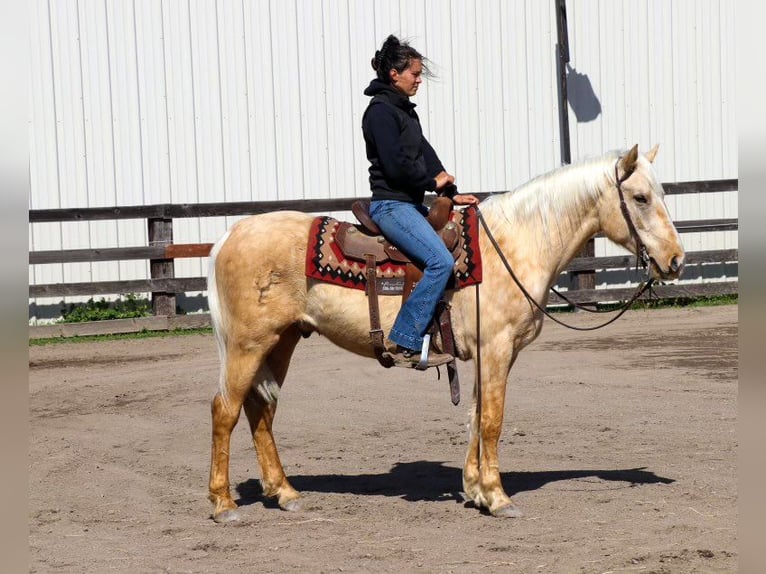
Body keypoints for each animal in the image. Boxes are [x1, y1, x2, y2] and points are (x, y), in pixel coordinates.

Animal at [207, 143, 688, 520]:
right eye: (640, 197)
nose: (676, 260)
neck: (515, 245)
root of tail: (229, 235)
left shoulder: (489, 354)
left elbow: (475, 415)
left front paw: (475, 491)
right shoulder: (496, 349)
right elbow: (492, 420)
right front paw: (498, 497)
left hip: (282, 341)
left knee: (261, 410)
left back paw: (284, 493)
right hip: (248, 344)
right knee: (225, 410)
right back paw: (223, 504)